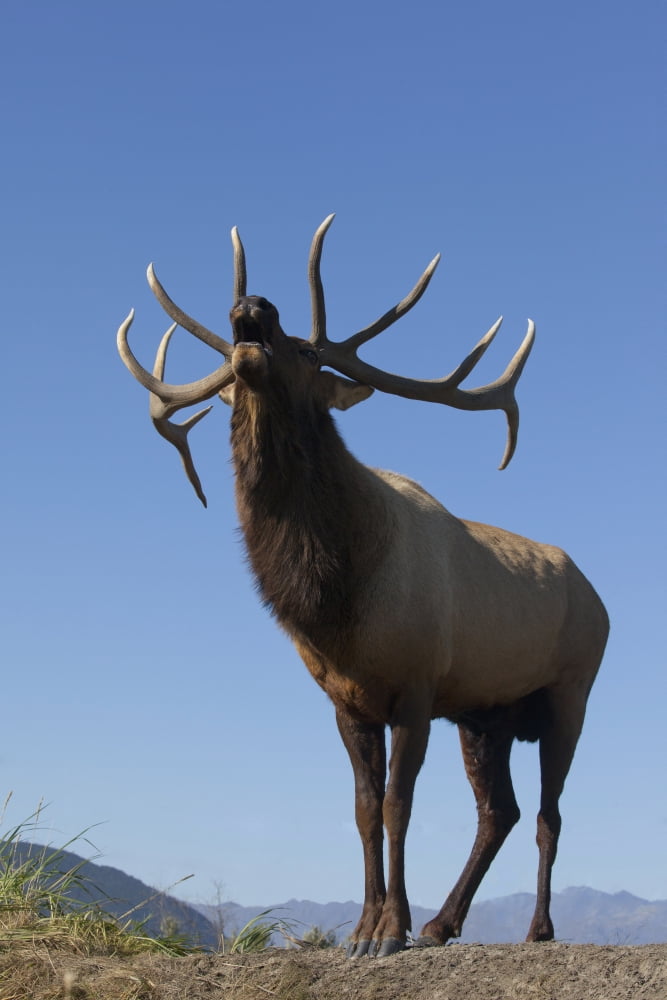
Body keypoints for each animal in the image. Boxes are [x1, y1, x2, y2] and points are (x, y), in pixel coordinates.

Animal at [117, 216, 609, 957]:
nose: (252, 304)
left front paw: (389, 930)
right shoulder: (347, 702)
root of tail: (600, 599)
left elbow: (398, 805)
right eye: (249, 342)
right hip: (485, 714)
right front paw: (362, 928)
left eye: (302, 350)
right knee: (500, 810)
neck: (337, 610)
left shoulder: (417, 687)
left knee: (549, 813)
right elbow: (361, 808)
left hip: (569, 692)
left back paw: (536, 929)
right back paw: (442, 924)